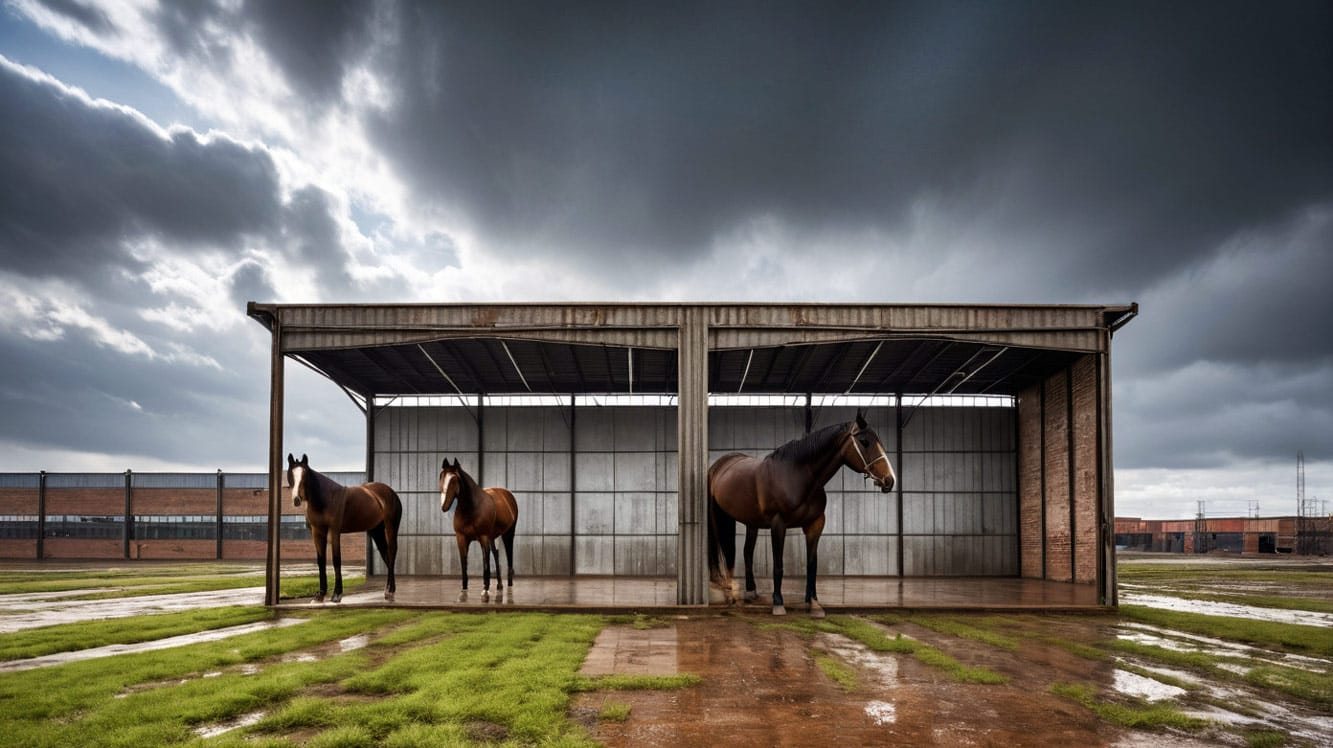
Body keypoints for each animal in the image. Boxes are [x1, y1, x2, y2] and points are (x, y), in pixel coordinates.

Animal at [285, 448, 399, 600]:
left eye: (305, 474)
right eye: (290, 474)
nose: (297, 499)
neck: (326, 499)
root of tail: (390, 492)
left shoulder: (334, 531)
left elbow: (336, 559)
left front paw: (337, 594)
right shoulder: (317, 532)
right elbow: (321, 561)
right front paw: (320, 595)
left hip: (391, 527)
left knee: (392, 553)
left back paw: (391, 591)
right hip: (376, 531)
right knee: (386, 556)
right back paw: (387, 590)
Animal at [439, 456, 517, 600]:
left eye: (454, 479)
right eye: (441, 476)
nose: (444, 506)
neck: (471, 508)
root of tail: (507, 494)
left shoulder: (483, 537)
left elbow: (485, 561)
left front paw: (485, 590)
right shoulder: (461, 538)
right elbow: (464, 562)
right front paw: (463, 590)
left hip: (508, 533)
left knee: (509, 555)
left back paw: (508, 586)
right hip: (493, 537)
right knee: (496, 554)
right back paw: (499, 585)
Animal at [709, 410, 895, 616]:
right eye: (864, 441)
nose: (889, 480)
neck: (798, 476)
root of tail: (721, 464)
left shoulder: (815, 524)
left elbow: (812, 564)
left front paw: (813, 603)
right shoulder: (778, 524)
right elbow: (778, 565)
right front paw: (778, 603)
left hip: (751, 522)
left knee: (746, 552)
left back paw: (750, 592)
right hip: (720, 517)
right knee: (724, 552)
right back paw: (728, 592)